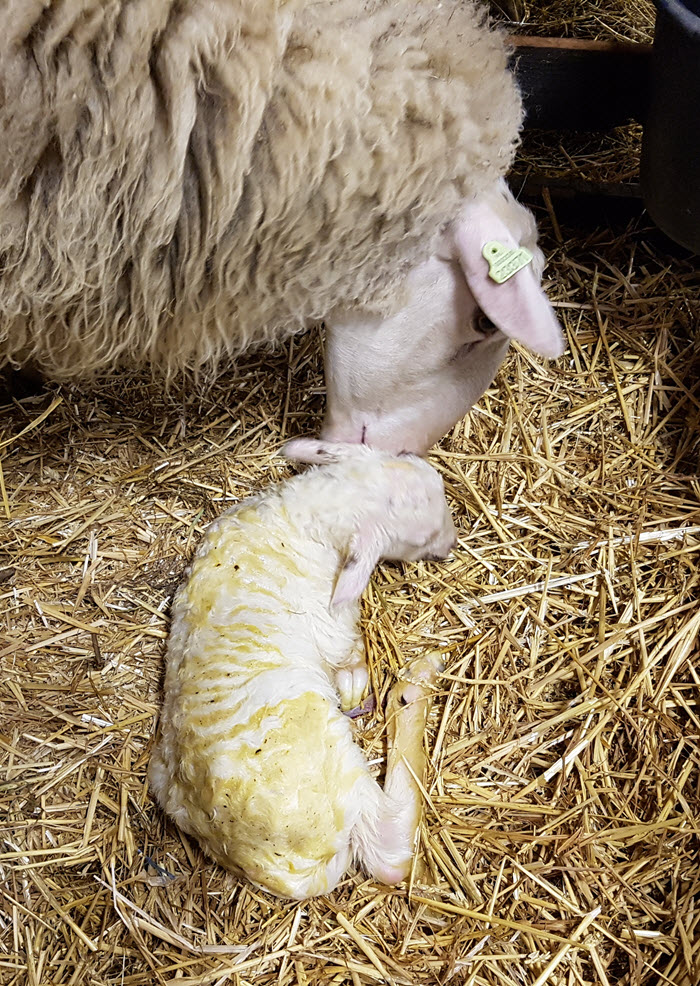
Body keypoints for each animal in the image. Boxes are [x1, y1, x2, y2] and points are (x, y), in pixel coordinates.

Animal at [149, 438, 454, 900]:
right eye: (421, 538)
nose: (450, 544)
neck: (305, 513)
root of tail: (275, 872)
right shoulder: (334, 622)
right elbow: (347, 649)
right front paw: (356, 678)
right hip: (337, 766)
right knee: (391, 851)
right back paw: (414, 685)